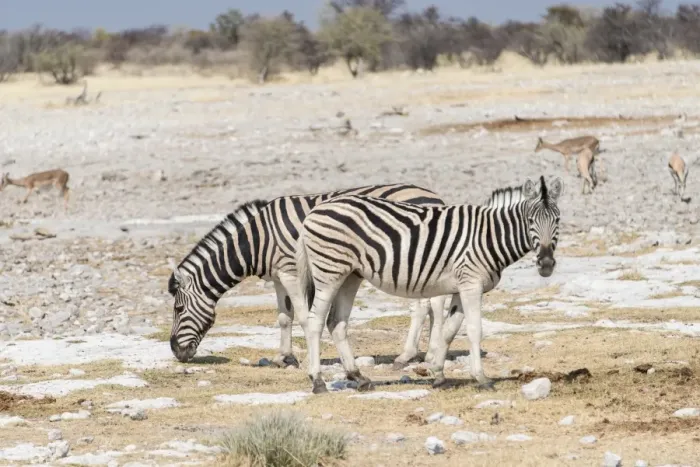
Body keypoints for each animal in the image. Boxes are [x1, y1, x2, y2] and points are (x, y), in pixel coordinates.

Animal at [167, 183, 450, 369]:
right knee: (434, 304)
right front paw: (283, 357)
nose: (177, 353)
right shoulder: (279, 277)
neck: (257, 241)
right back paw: (428, 354)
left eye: (179, 309)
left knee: (423, 306)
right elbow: (284, 317)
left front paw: (305, 359)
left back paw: (407, 355)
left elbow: (304, 316)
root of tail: (434, 196)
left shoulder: (291, 271)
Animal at [296, 176, 563, 394]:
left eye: (558, 220)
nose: (546, 264)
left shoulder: (460, 287)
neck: (488, 235)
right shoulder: (471, 284)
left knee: (336, 323)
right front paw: (481, 378)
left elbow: (449, 330)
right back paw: (318, 381)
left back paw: (359, 377)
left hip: (350, 275)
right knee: (315, 322)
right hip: (329, 272)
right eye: (530, 220)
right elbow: (474, 330)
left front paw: (438, 374)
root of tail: (315, 211)